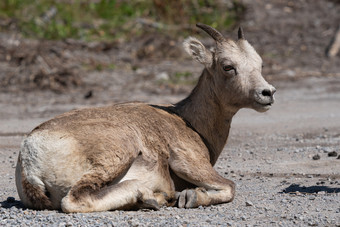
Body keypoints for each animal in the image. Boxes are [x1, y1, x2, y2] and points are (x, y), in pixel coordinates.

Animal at [15, 23, 276, 213]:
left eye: (260, 64)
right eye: (227, 66)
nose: (267, 93)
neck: (188, 121)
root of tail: (31, 155)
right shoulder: (189, 163)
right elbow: (230, 187)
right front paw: (189, 197)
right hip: (117, 153)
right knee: (75, 200)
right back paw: (152, 196)